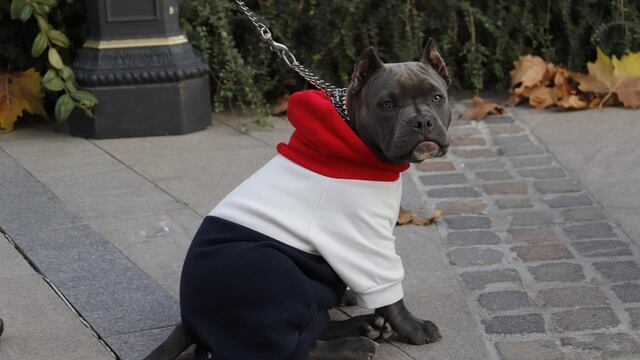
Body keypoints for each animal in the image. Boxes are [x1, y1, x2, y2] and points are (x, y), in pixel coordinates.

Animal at [148, 38, 452, 360]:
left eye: (436, 97)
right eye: (387, 104)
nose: (422, 121)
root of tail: (190, 322)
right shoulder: (363, 239)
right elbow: (389, 292)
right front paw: (413, 328)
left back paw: (365, 324)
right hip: (272, 267)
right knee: (295, 346)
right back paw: (354, 344)